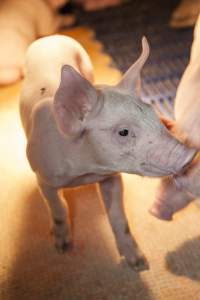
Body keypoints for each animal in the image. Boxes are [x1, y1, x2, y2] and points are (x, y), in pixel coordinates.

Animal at [19, 34, 195, 270]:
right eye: (123, 132)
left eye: (153, 114)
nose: (190, 154)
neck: (85, 173)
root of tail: (49, 37)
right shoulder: (43, 177)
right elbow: (58, 209)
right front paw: (62, 249)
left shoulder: (111, 177)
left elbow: (118, 216)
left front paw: (139, 264)